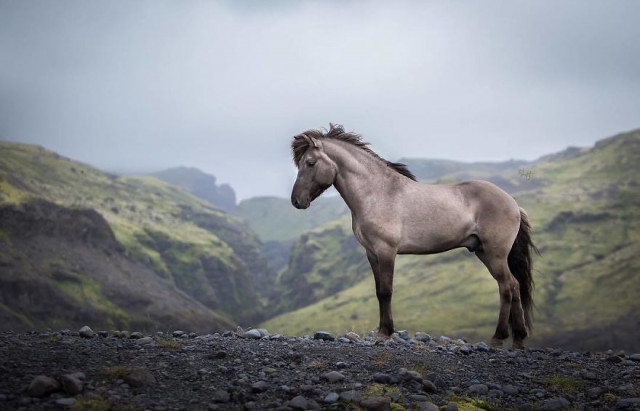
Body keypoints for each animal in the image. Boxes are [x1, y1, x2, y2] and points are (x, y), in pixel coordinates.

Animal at [292, 124, 536, 350]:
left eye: (310, 162)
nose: (297, 201)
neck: (378, 193)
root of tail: (513, 203)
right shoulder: (371, 253)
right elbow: (378, 291)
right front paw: (382, 330)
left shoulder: (386, 251)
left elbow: (386, 291)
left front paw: (385, 332)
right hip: (483, 252)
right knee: (514, 286)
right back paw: (518, 339)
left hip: (495, 254)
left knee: (507, 287)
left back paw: (498, 337)